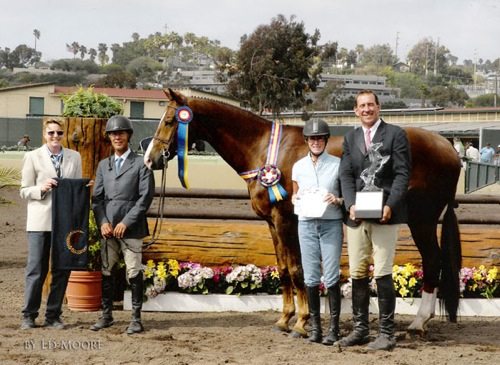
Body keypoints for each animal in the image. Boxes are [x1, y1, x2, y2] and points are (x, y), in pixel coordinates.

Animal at [144, 88, 460, 336]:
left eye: (171, 120)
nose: (150, 159)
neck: (264, 149)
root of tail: (450, 149)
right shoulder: (272, 223)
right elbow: (284, 269)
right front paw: (284, 319)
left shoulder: (286, 220)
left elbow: (297, 270)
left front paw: (301, 322)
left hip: (422, 220)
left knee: (432, 261)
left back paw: (419, 322)